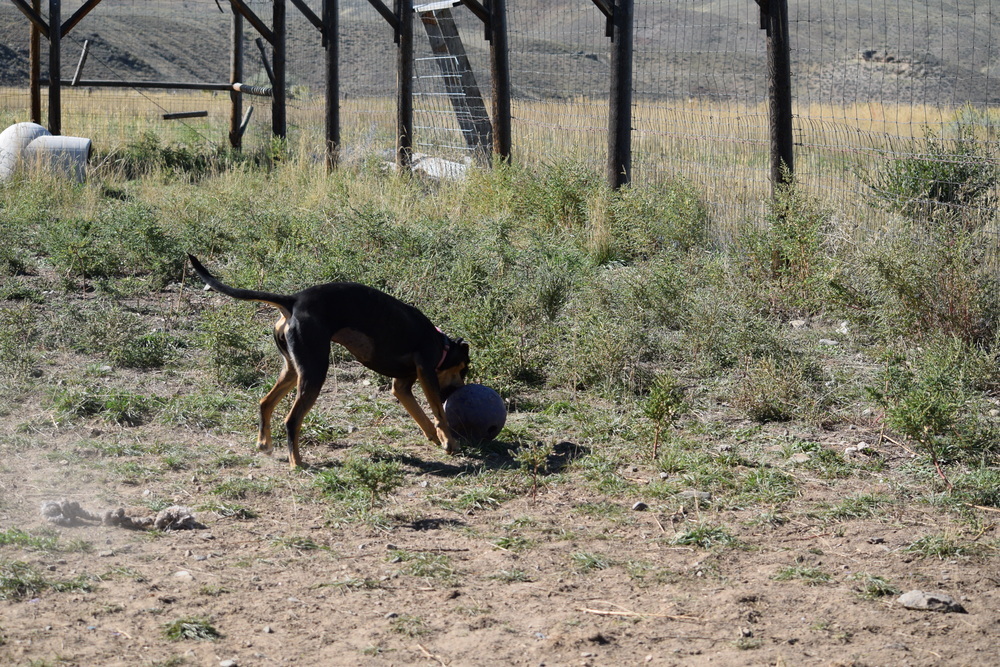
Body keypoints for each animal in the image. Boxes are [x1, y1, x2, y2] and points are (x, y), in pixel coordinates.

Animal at [189, 256, 470, 470]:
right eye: (464, 369)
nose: (459, 391)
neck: (441, 344)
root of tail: (293, 300)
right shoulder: (427, 374)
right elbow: (438, 412)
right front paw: (449, 441)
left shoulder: (401, 386)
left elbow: (421, 415)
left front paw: (434, 437)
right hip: (314, 373)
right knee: (291, 420)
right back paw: (297, 462)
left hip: (294, 370)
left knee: (265, 402)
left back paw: (264, 444)